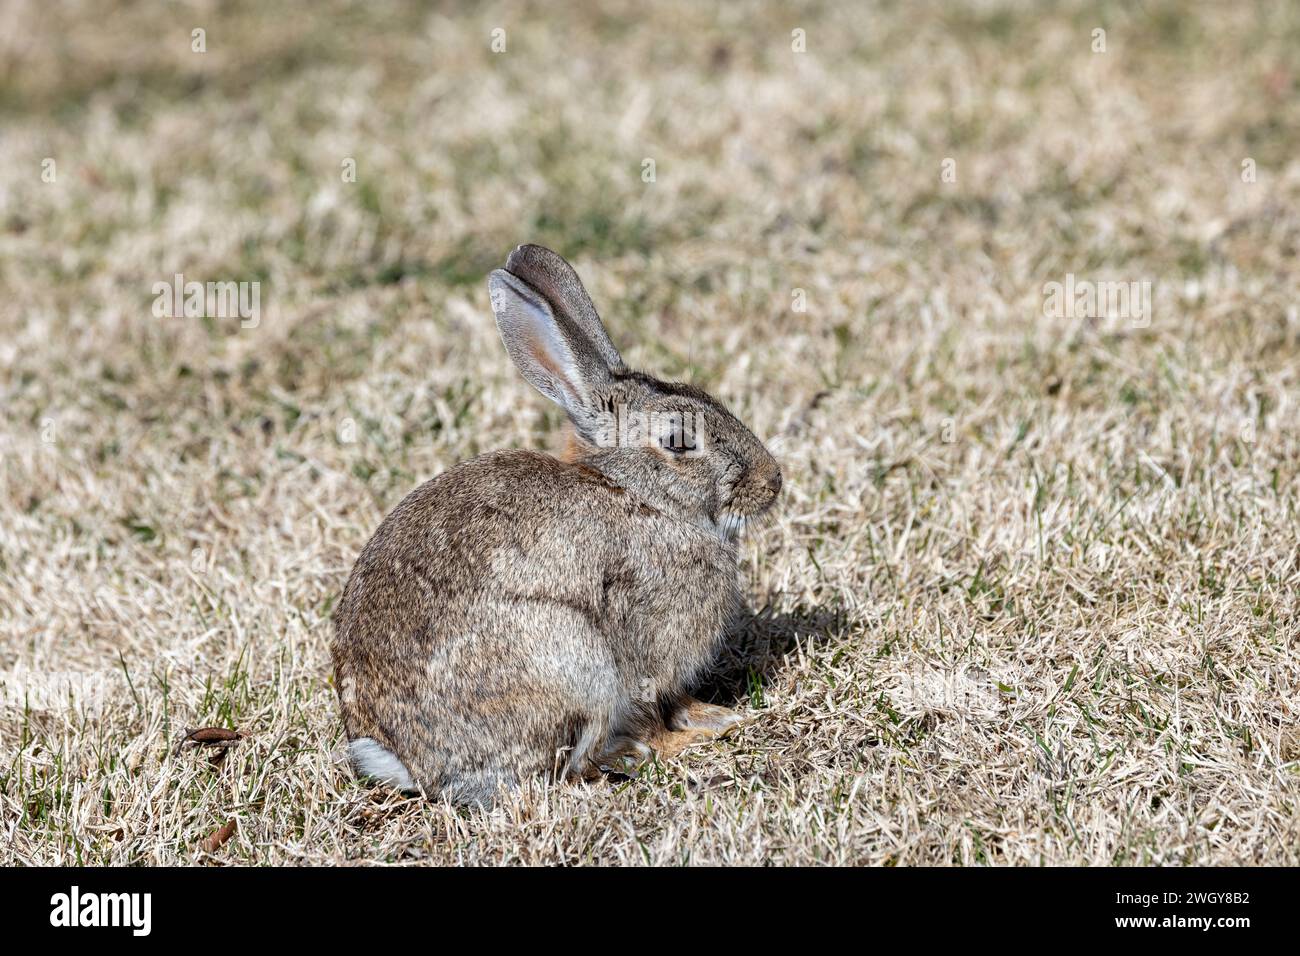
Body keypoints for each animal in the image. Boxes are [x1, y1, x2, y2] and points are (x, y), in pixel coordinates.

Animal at [330, 244, 782, 803]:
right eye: (679, 441)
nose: (773, 480)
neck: (636, 494)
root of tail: (408, 763)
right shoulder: (644, 651)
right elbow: (653, 707)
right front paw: (695, 734)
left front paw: (715, 716)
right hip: (576, 663)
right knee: (574, 765)